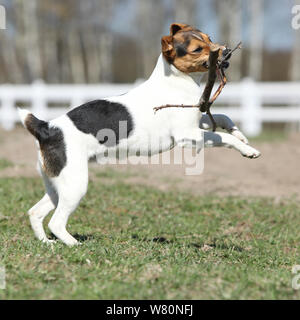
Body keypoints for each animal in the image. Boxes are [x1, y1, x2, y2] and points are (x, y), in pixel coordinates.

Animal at [18, 23, 260, 246]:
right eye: (198, 49)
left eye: (210, 38)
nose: (226, 51)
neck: (176, 81)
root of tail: (46, 127)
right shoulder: (187, 136)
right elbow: (223, 138)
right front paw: (248, 150)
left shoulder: (195, 122)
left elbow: (223, 117)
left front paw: (240, 134)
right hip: (75, 184)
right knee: (56, 222)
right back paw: (75, 245)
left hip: (56, 185)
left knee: (35, 212)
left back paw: (46, 243)